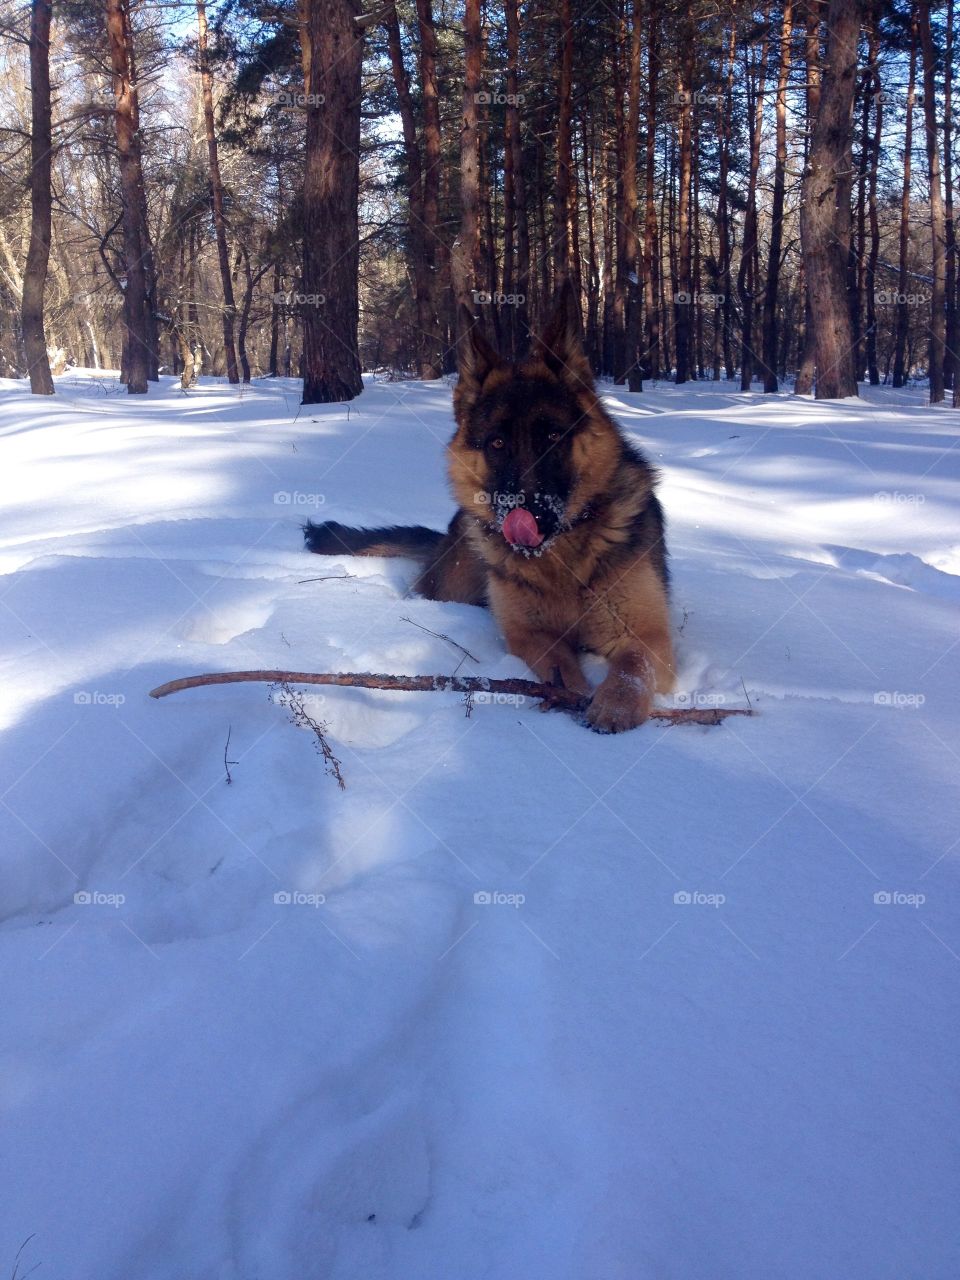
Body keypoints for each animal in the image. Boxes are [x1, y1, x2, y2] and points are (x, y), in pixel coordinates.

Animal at [305, 286, 675, 737]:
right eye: (497, 443)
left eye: (553, 437)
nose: (525, 514)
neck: (560, 560)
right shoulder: (528, 634)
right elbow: (560, 667)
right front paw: (570, 694)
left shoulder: (649, 636)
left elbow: (632, 665)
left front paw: (614, 705)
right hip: (457, 583)